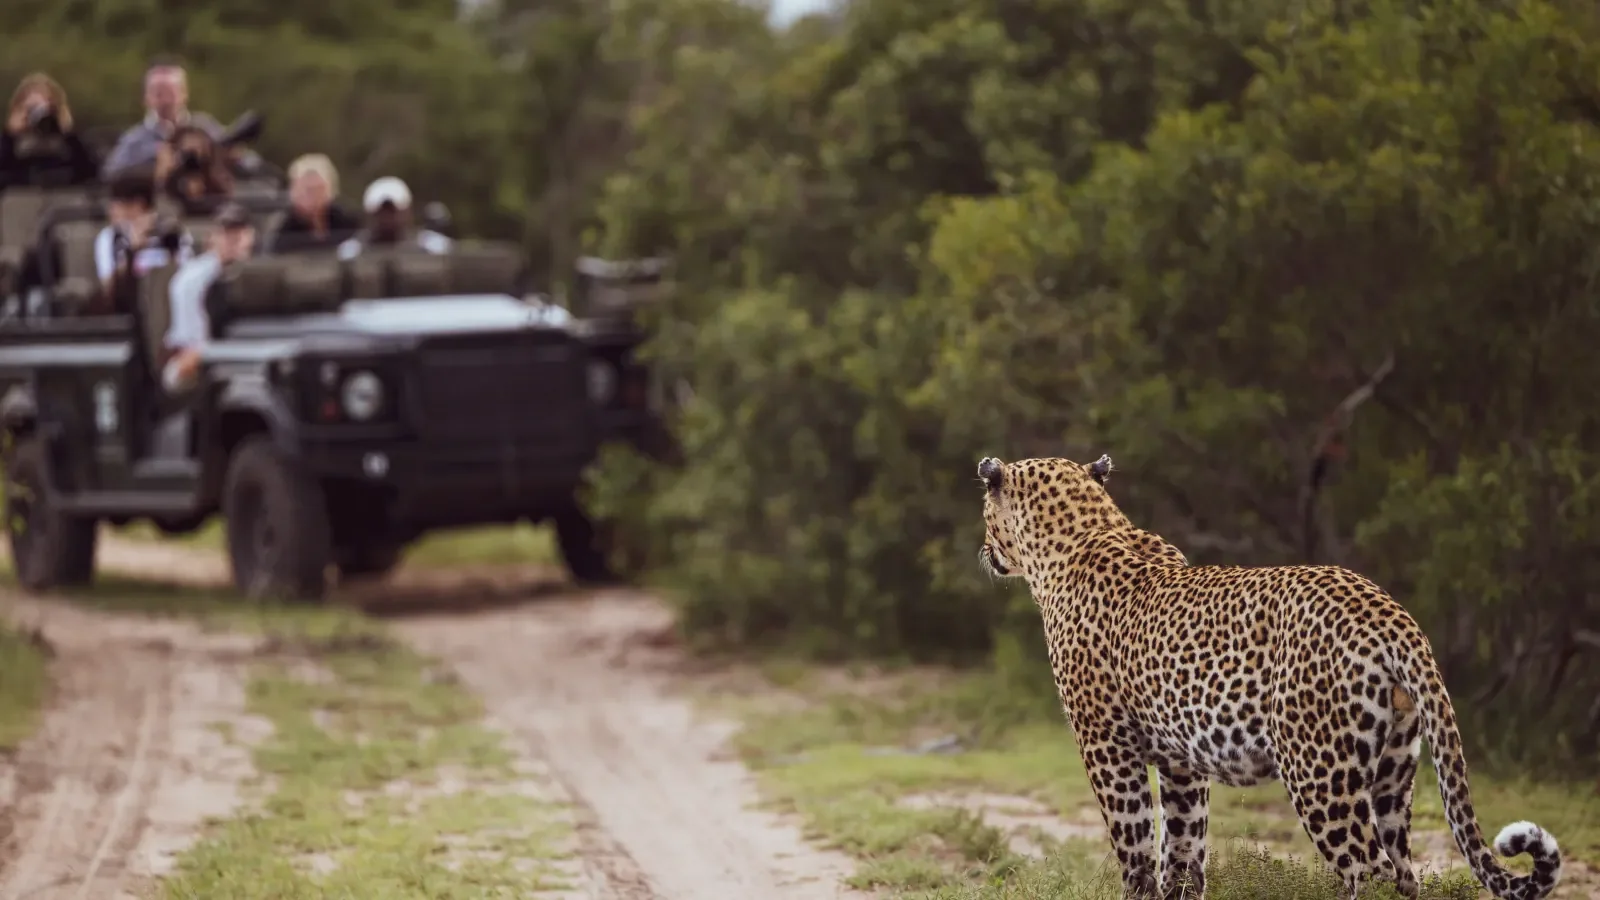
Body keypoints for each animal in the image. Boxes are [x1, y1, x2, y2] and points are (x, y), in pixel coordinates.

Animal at [975, 454, 1562, 900]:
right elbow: (1183, 850)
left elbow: (1136, 845)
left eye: (984, 511)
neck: (1082, 534)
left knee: (1370, 873)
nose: (983, 550)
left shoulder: (1106, 747)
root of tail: (1390, 614)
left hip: (1320, 774)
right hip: (1394, 771)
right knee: (1404, 874)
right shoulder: (1181, 762)